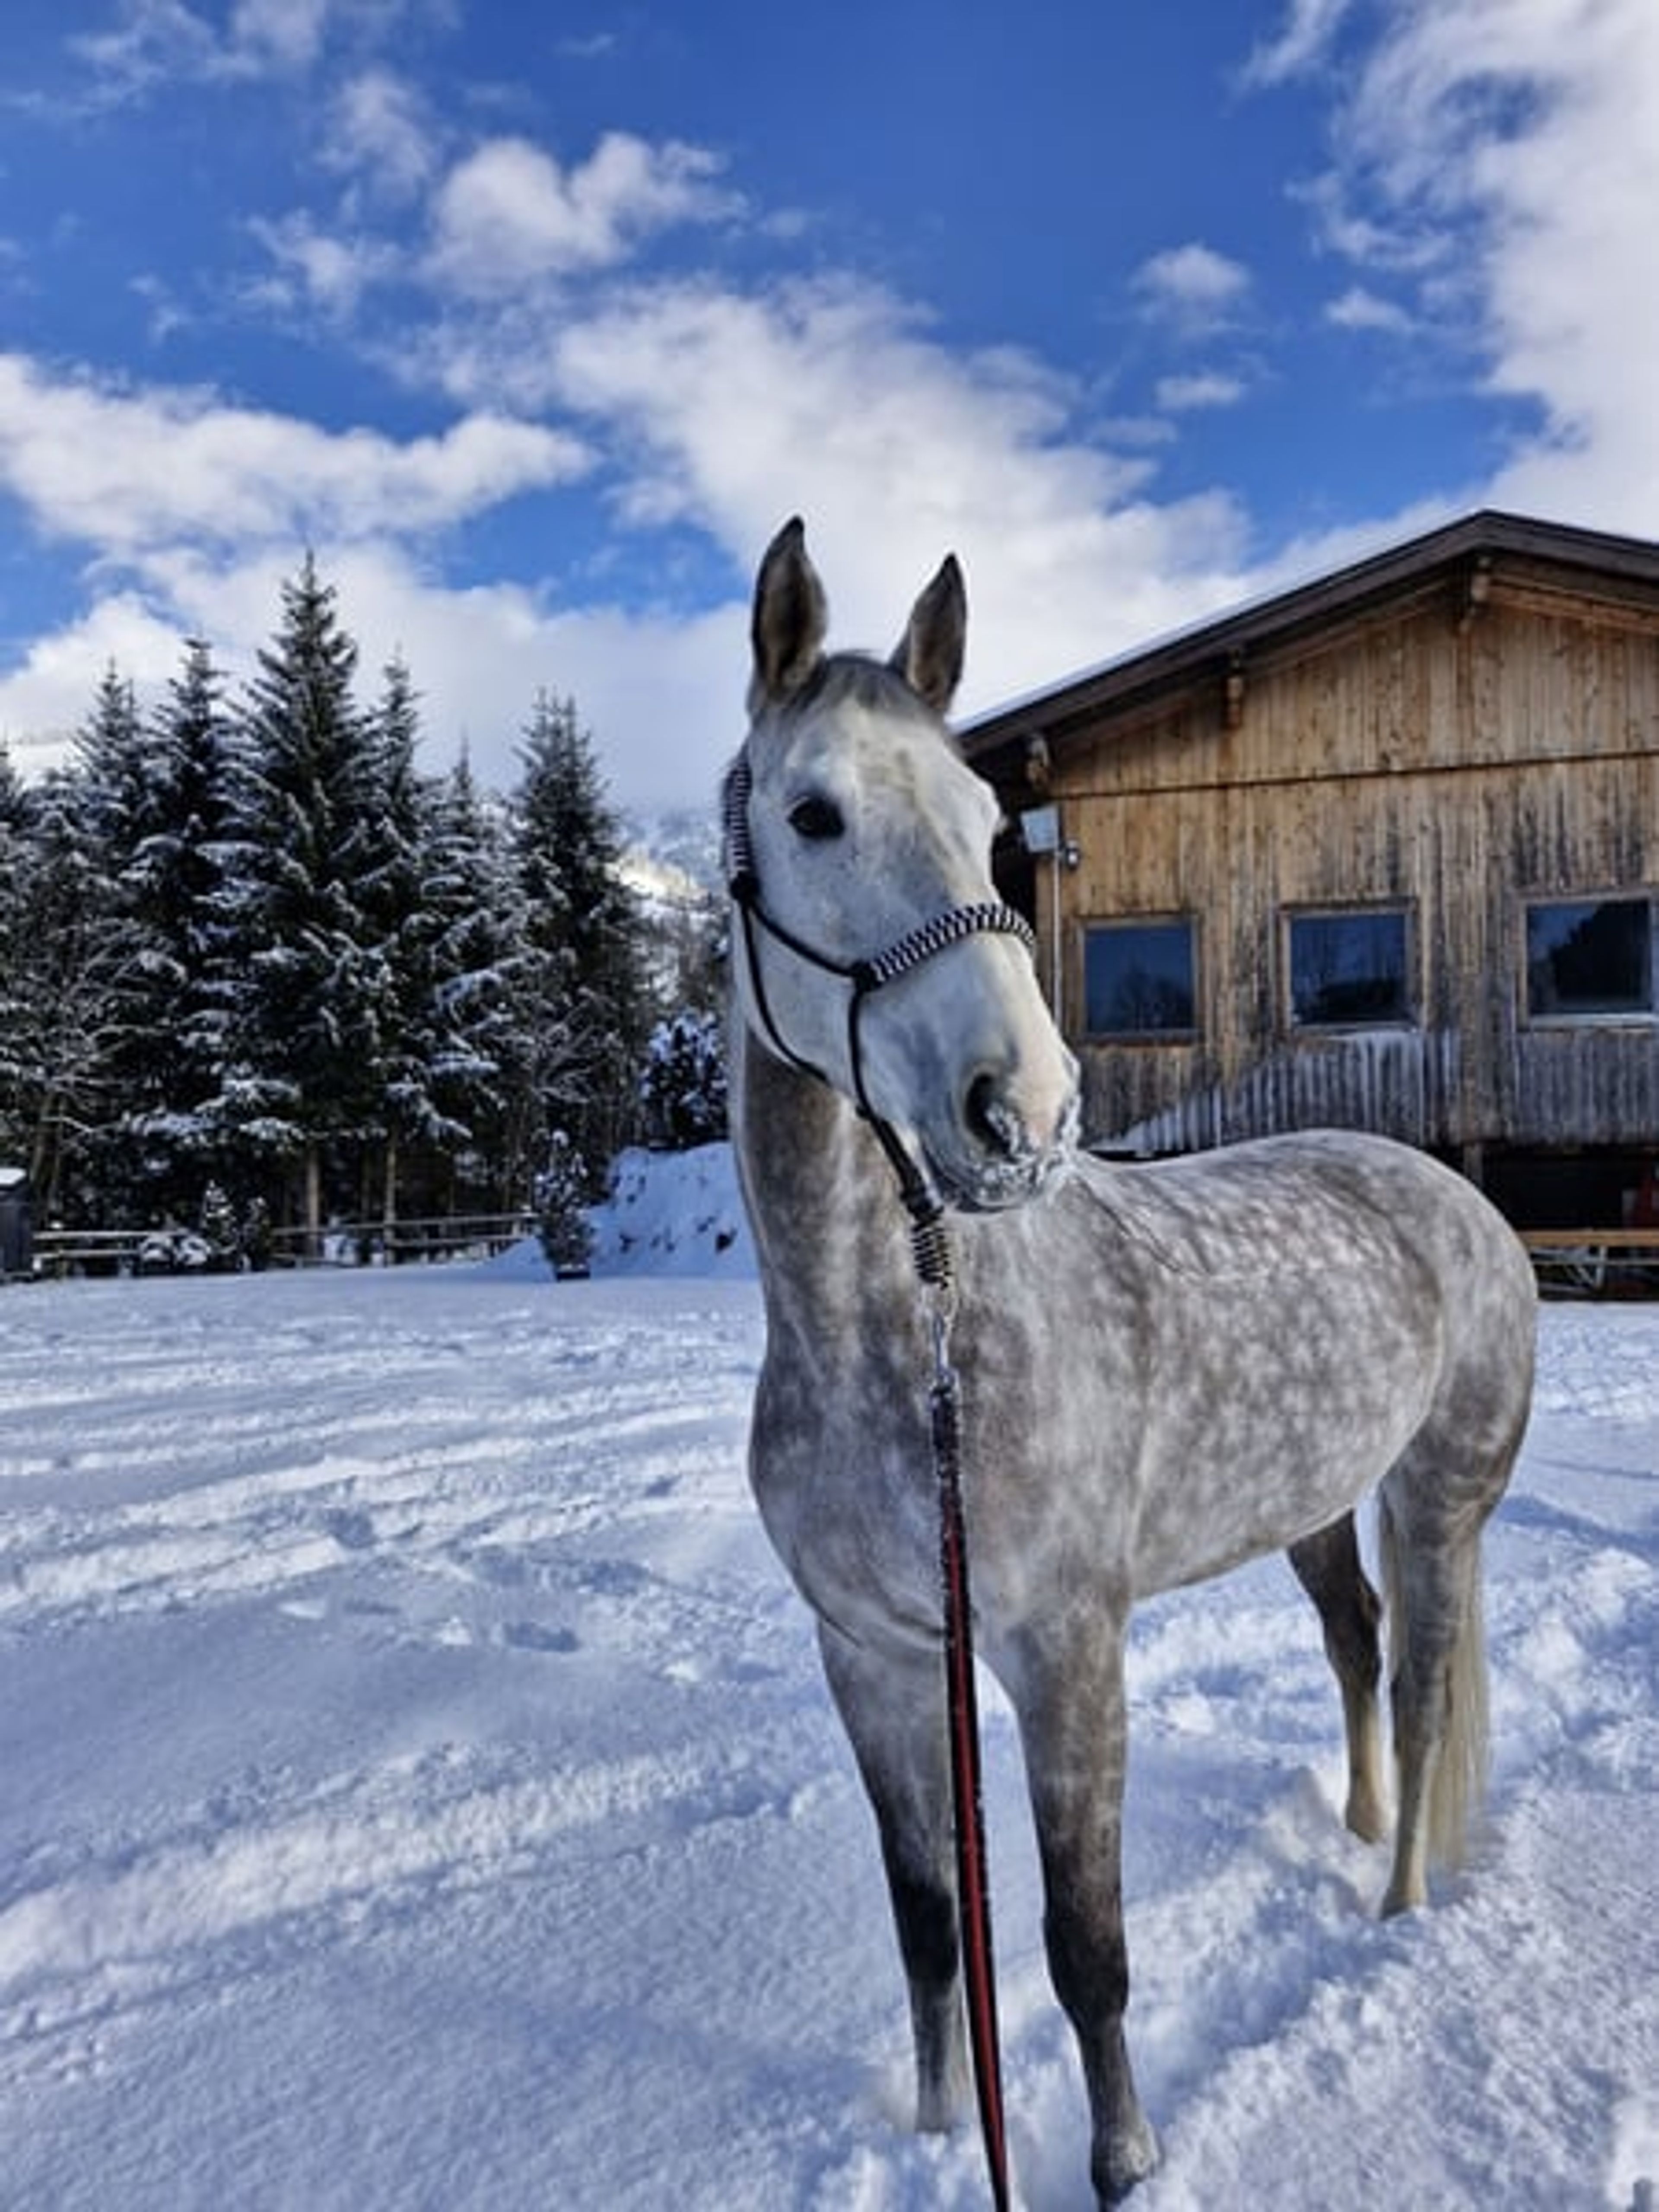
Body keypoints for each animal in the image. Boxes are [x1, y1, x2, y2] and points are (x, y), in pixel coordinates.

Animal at [726, 519, 1537, 2204]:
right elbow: (931, 1928)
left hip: (1436, 1504)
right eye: (812, 810)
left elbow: (1082, 1946)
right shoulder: (874, 1655)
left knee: (1424, 1692)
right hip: (1315, 1508)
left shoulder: (1064, 1651)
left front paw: (1125, 2162)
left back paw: (1396, 1907)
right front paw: (934, 2135)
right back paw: (1354, 1827)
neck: (896, 1344)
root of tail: (1458, 1199)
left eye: (989, 823)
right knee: (1355, 1649)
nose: (1020, 1111)